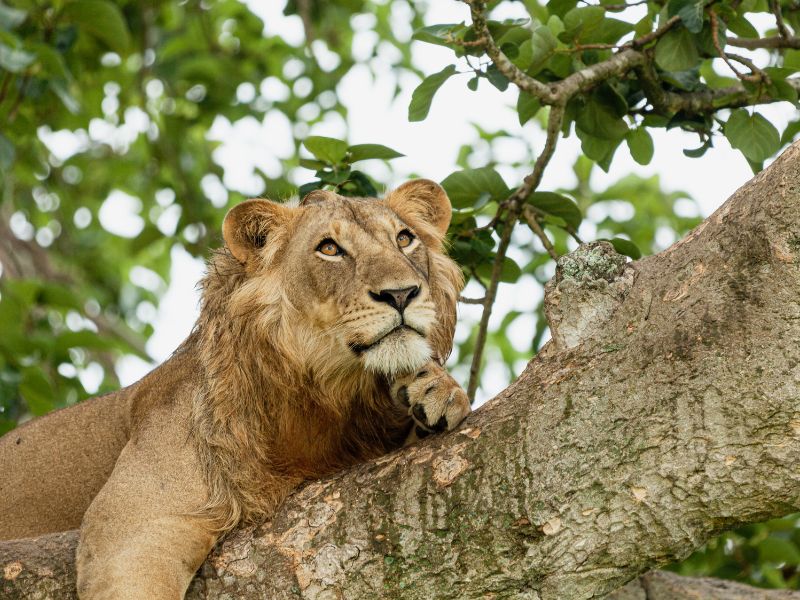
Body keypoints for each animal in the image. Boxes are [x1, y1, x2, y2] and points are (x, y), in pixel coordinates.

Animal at [0, 179, 471, 598]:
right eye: (329, 249)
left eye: (404, 239)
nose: (402, 293)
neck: (327, 396)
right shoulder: (131, 526)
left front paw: (436, 390)